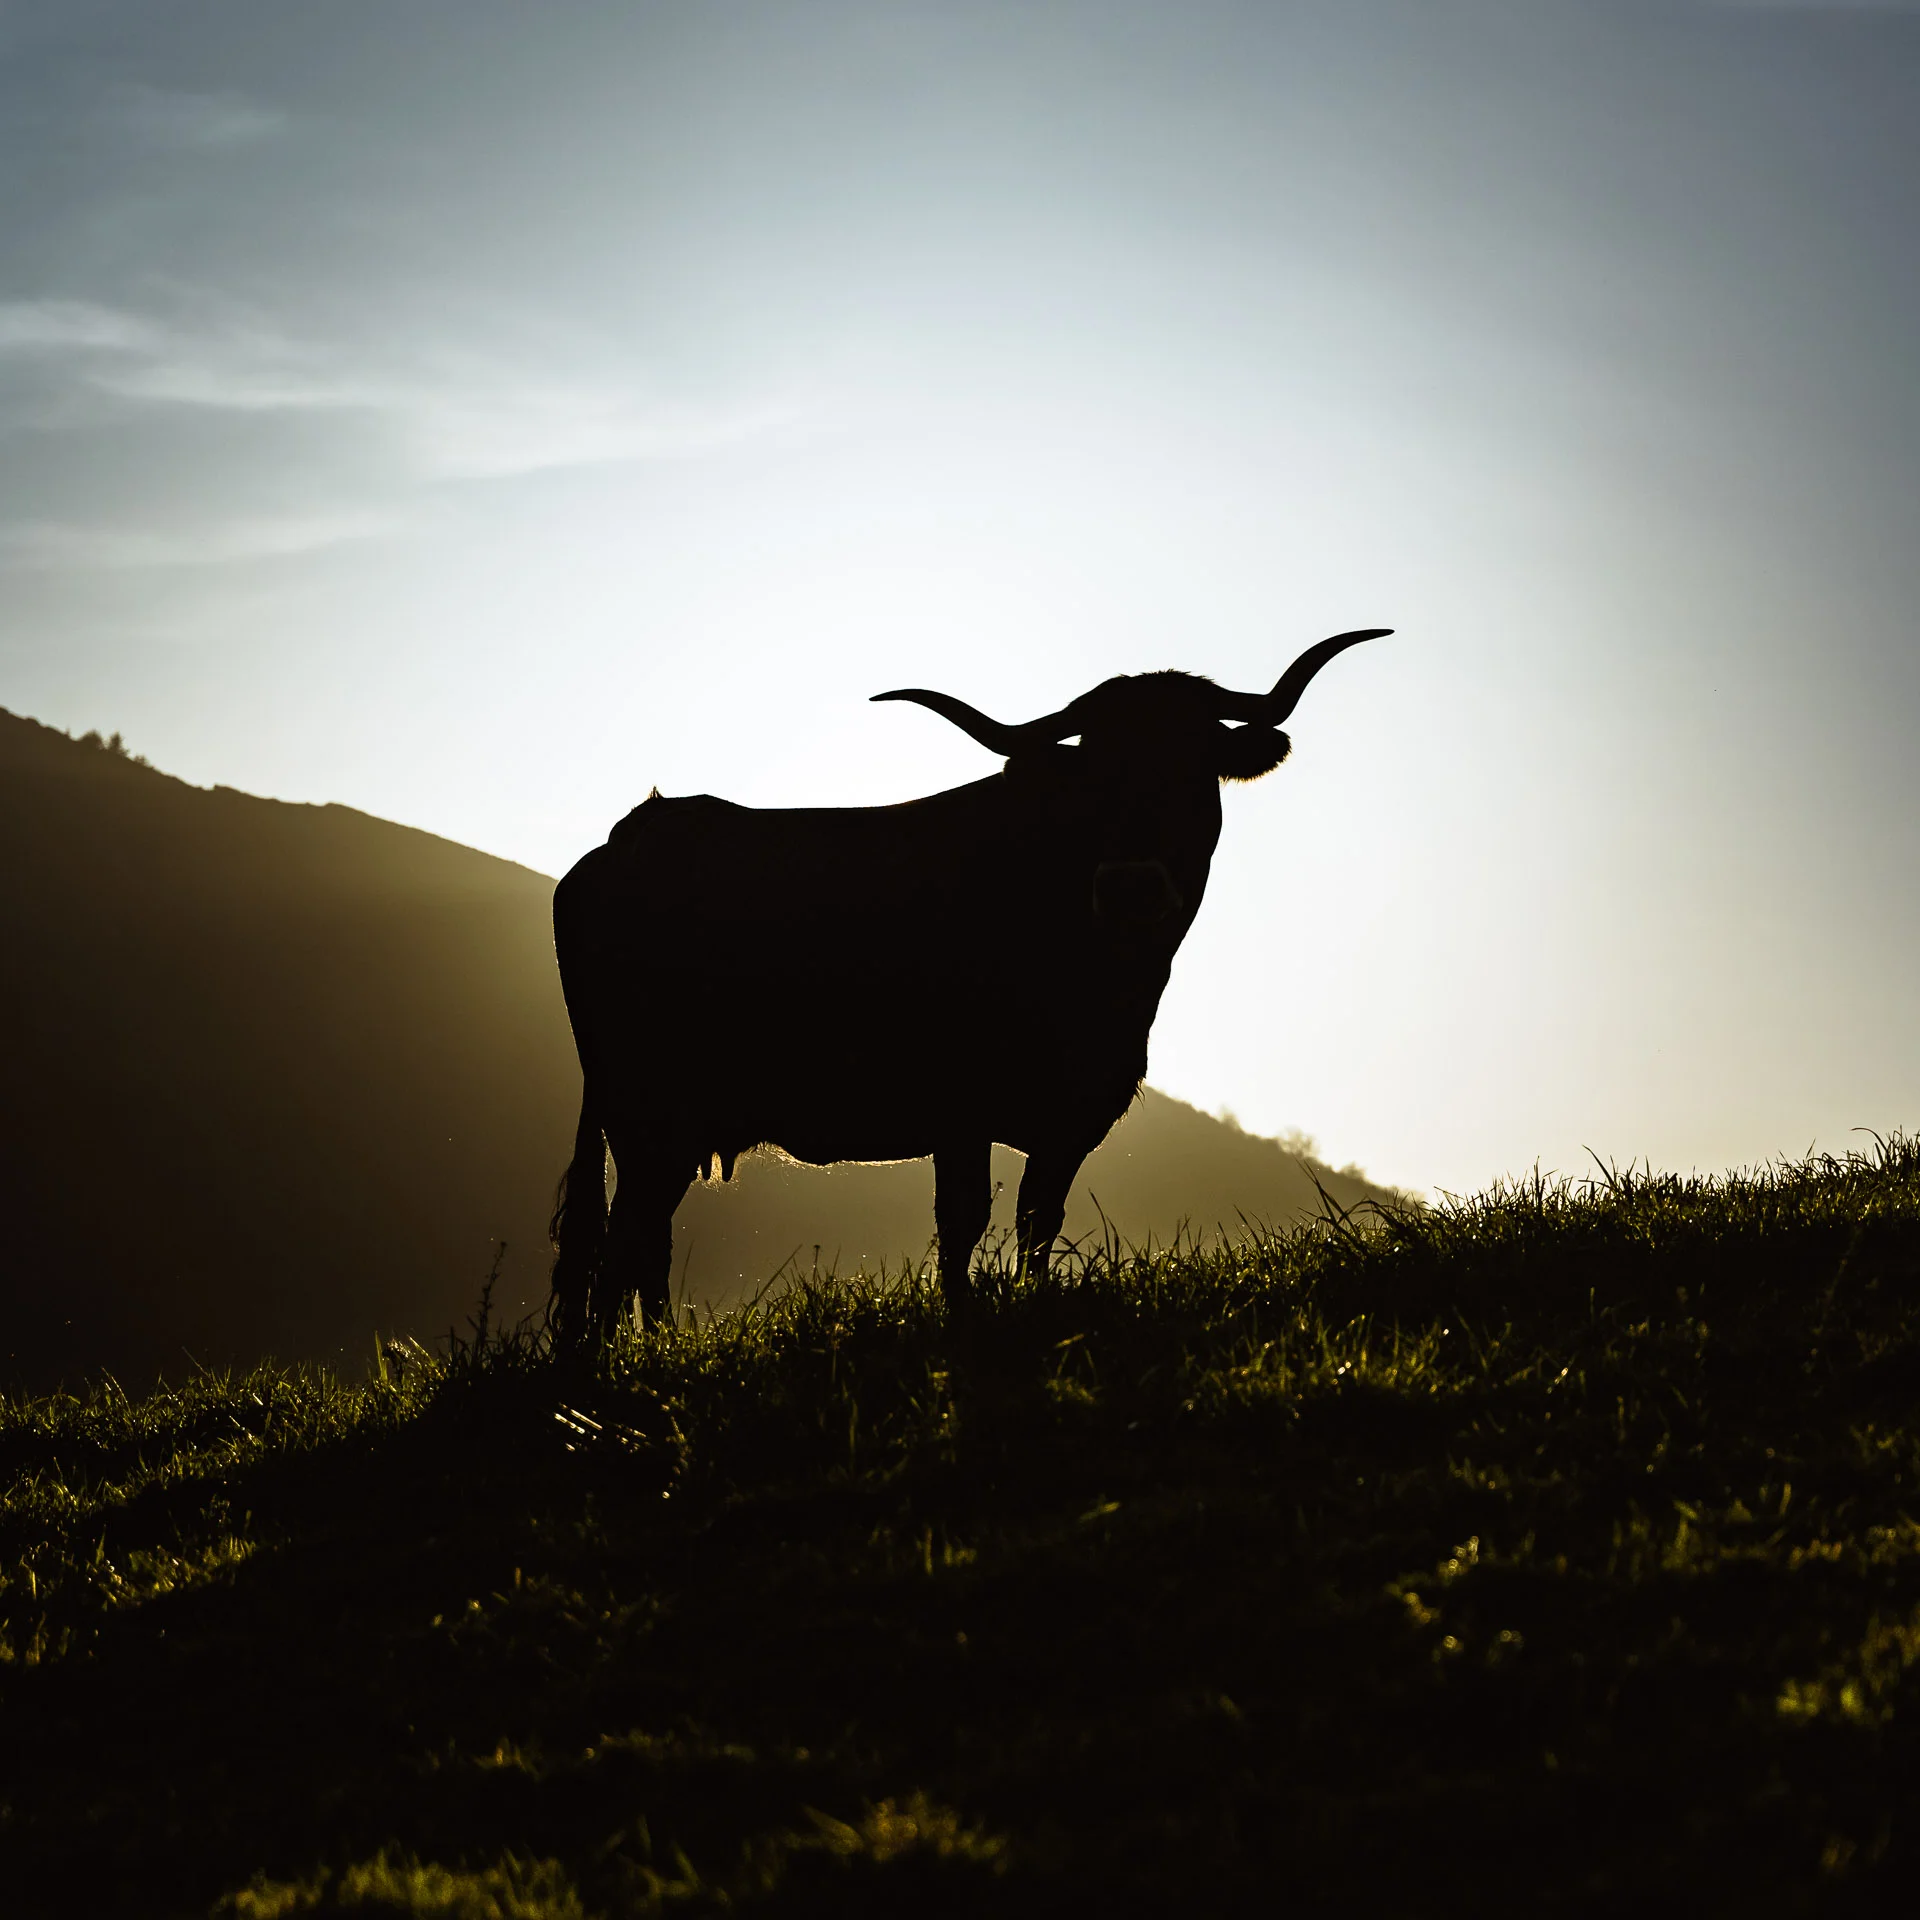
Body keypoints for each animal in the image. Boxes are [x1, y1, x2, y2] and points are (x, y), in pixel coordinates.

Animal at [546, 627, 1388, 1343]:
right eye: (1095, 772)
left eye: (1193, 763)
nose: (1131, 886)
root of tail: (632, 835)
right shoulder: (959, 1108)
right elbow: (964, 1220)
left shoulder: (1072, 1115)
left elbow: (1037, 1219)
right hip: (649, 1110)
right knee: (622, 1241)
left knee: (640, 1240)